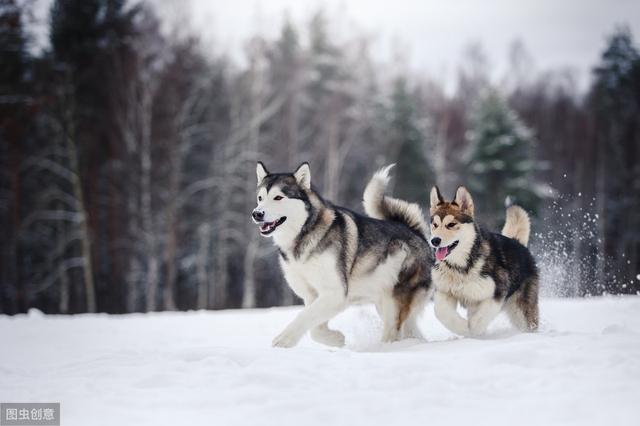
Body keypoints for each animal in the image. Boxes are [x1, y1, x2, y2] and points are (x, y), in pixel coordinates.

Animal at [252, 162, 432, 346]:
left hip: (394, 302)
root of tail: (417, 233)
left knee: (393, 331)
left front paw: (283, 340)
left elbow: (304, 317)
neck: (303, 234)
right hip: (385, 303)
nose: (257, 214)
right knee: (411, 332)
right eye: (260, 198)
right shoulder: (312, 296)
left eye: (278, 197)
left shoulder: (335, 293)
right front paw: (335, 339)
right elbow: (314, 329)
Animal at [428, 186, 536, 336]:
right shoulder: (445, 291)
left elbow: (481, 318)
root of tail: (517, 242)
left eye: (451, 224)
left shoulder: (497, 292)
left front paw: (473, 330)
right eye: (435, 224)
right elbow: (440, 312)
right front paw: (463, 327)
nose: (434, 240)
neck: (461, 266)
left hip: (521, 310)